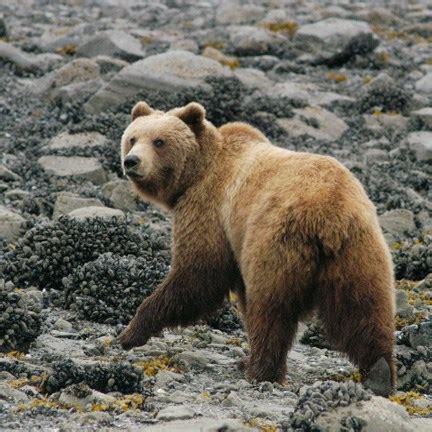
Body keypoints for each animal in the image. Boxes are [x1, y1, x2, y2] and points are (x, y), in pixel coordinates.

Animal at [118, 100, 394, 394]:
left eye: (159, 141)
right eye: (133, 138)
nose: (131, 161)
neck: (198, 172)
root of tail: (328, 212)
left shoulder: (211, 212)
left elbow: (197, 274)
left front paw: (131, 332)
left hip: (276, 242)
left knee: (271, 309)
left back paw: (261, 370)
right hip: (360, 250)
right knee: (366, 309)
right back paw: (380, 370)